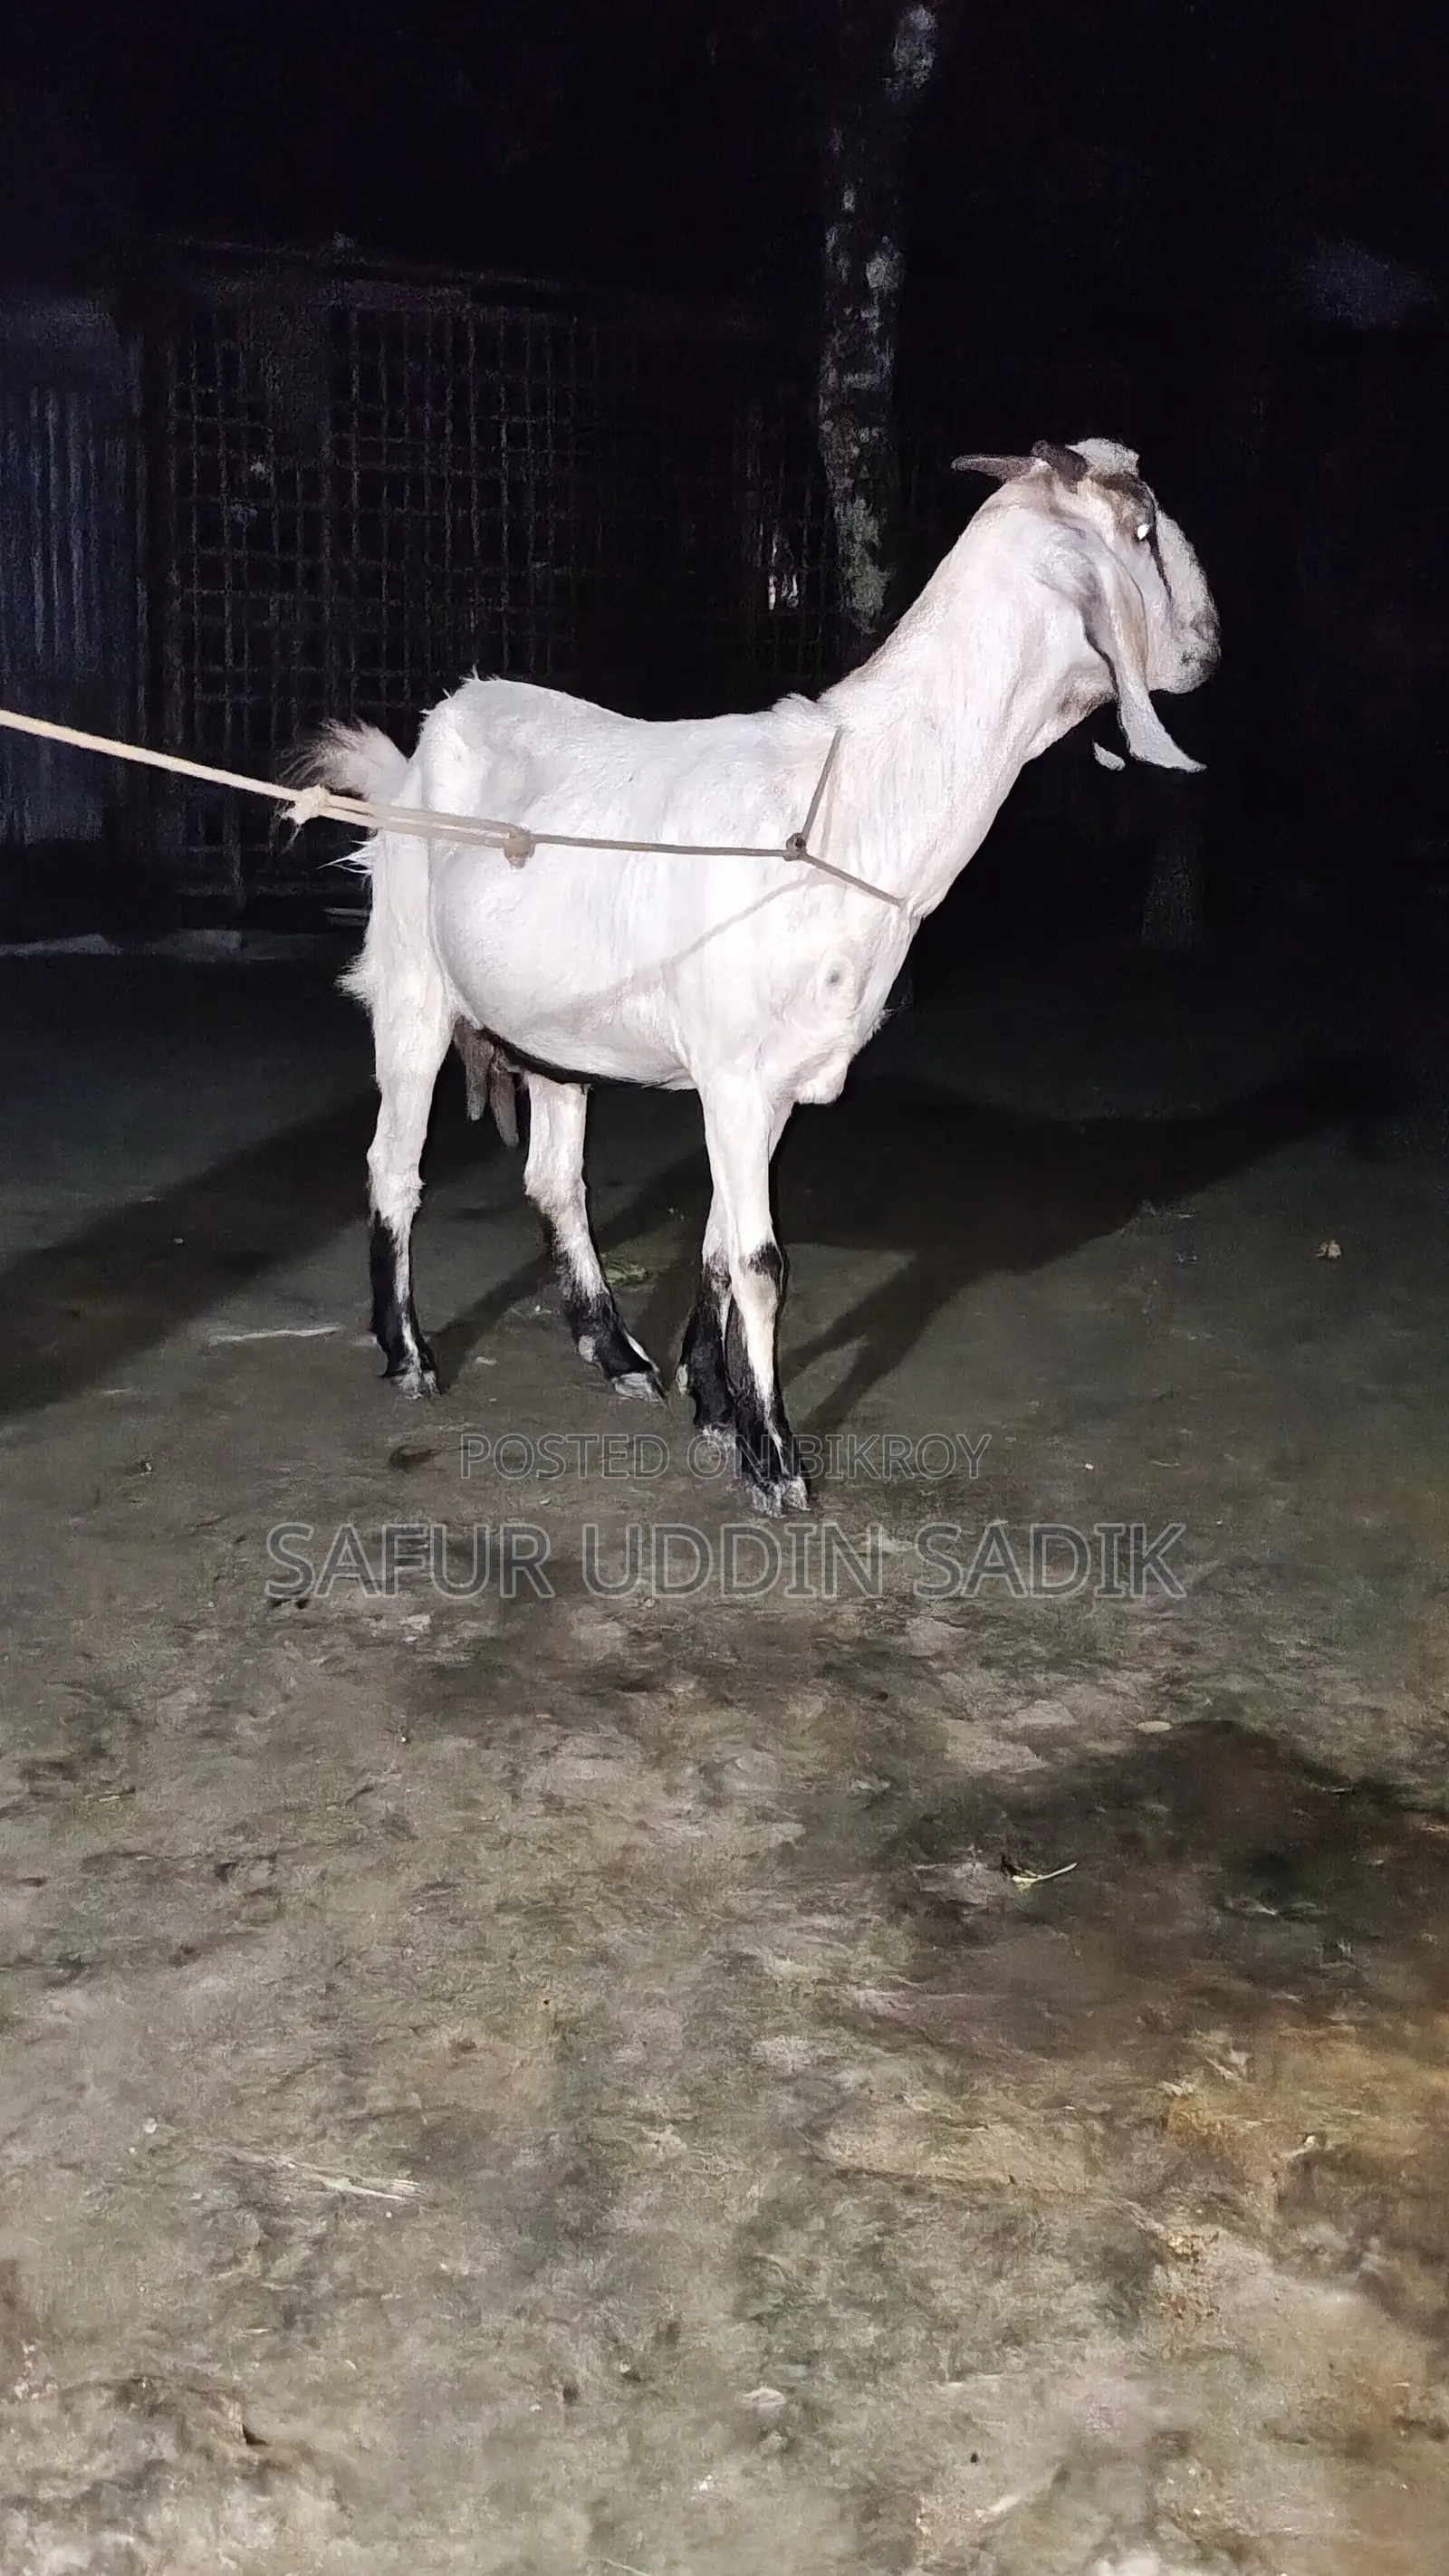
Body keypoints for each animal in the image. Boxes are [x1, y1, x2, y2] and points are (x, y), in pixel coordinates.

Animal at [307, 438, 1218, 1512]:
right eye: (1144, 530)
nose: (1210, 642)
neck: (846, 803)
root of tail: (416, 751)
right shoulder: (735, 1073)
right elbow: (760, 1260)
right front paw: (774, 1458)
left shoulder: (765, 1083)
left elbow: (714, 1249)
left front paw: (712, 1403)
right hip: (411, 983)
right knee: (394, 1166)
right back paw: (408, 1353)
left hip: (553, 1029)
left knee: (554, 1178)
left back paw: (614, 1351)